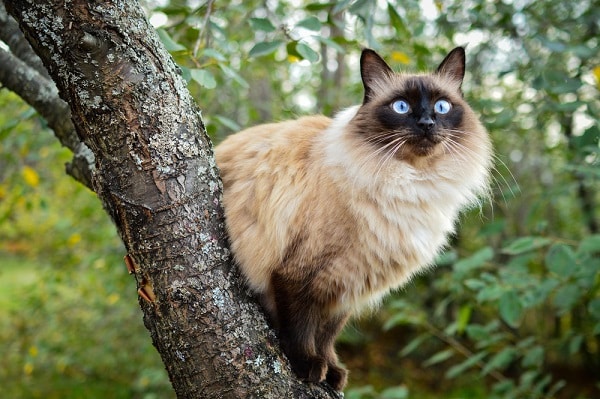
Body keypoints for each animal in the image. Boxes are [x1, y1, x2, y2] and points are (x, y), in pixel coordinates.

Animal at [214, 47, 492, 390]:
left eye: (442, 107)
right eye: (401, 107)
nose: (427, 122)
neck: (412, 184)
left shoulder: (347, 283)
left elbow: (327, 335)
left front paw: (332, 371)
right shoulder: (299, 273)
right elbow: (301, 327)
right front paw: (308, 365)